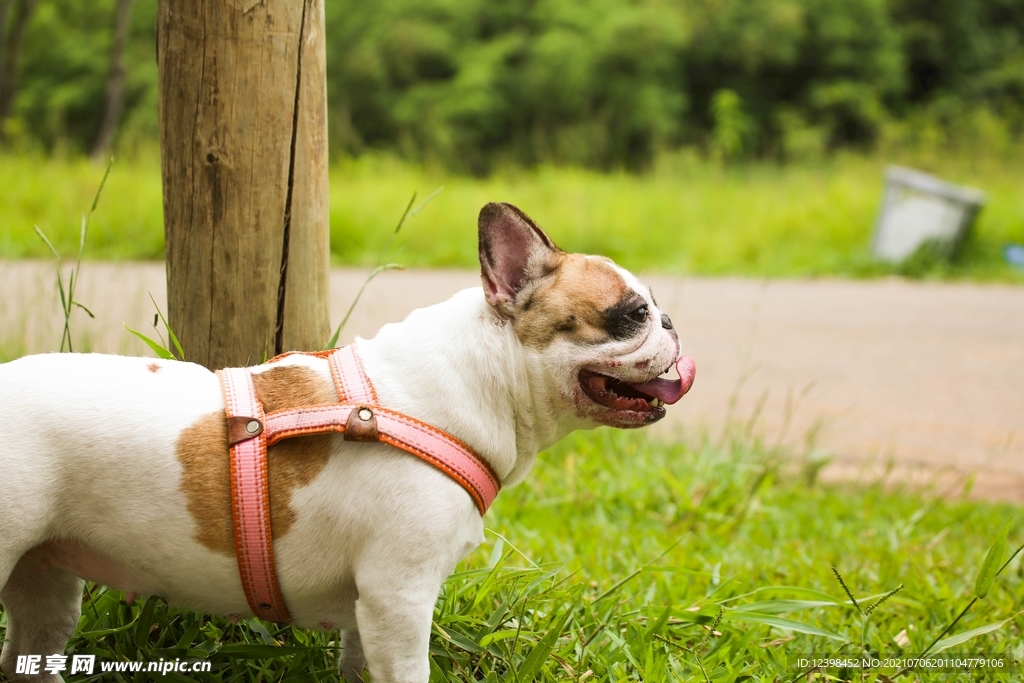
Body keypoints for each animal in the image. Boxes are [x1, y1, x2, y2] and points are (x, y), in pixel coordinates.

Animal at [0, 202, 696, 683]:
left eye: (655, 311)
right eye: (632, 314)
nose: (670, 323)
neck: (485, 376)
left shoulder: (372, 609)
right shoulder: (400, 597)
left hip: (46, 585)